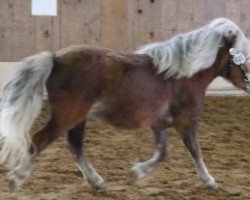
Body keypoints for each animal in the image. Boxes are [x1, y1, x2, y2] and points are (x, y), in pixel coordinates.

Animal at [0, 17, 249, 192]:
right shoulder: (186, 122)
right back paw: (16, 179)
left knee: (75, 146)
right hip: (67, 116)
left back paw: (97, 181)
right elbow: (195, 151)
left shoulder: (160, 125)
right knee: (39, 141)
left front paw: (137, 172)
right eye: (243, 57)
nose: (249, 84)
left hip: (77, 118)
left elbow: (162, 153)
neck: (184, 74)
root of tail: (55, 58)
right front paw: (209, 181)